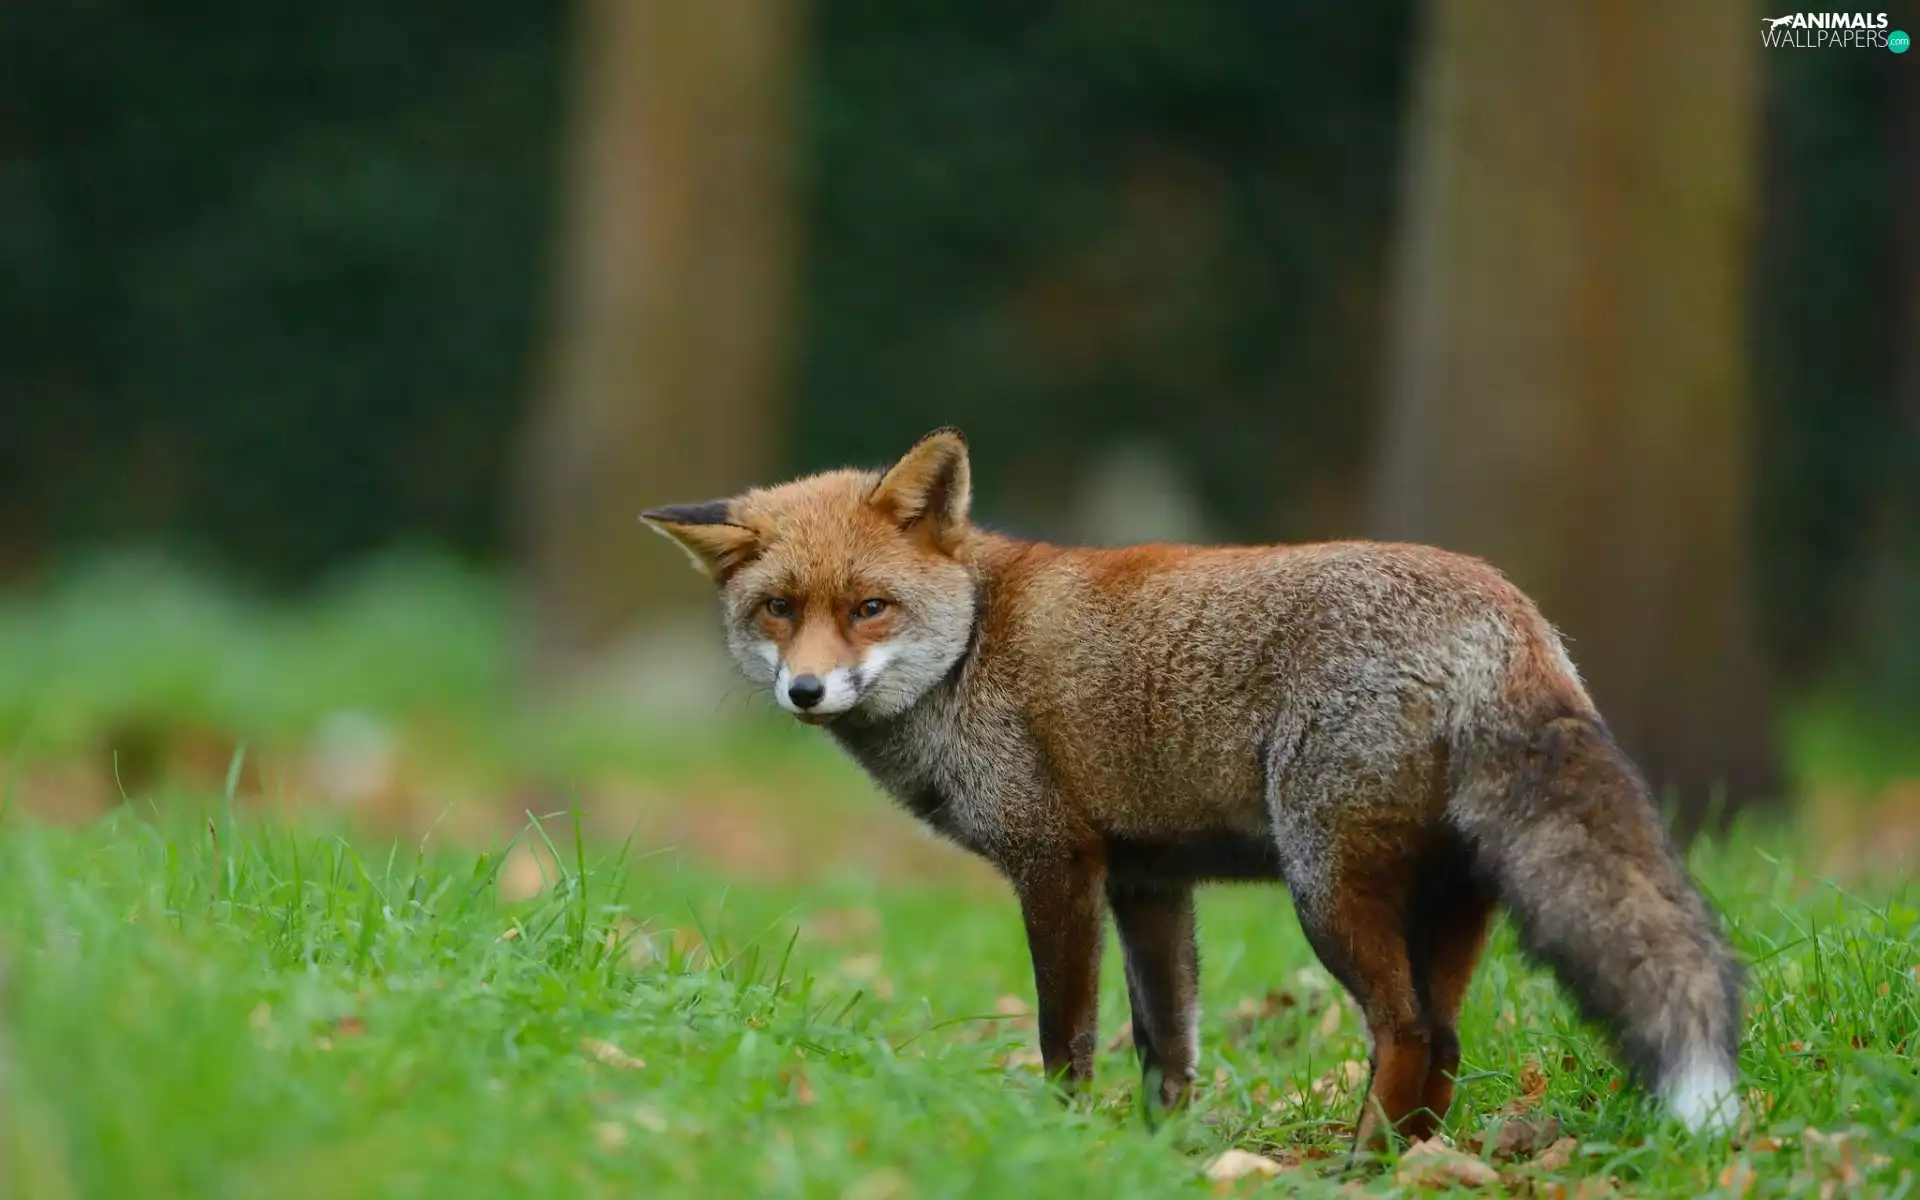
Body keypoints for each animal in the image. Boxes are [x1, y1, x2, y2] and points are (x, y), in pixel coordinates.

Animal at [641, 428, 1744, 1146]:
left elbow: (1067, 1037)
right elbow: (1166, 1047)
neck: (972, 648)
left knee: (1408, 1032)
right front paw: (1157, 1159)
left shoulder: (1056, 865)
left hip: (1327, 889)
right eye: (778, 611)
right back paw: (1409, 1163)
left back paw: (1359, 1169)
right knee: (1447, 1042)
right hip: (1448, 900)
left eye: (870, 607)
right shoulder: (1149, 884)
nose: (805, 690)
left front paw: (1063, 1144)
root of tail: (1508, 612)